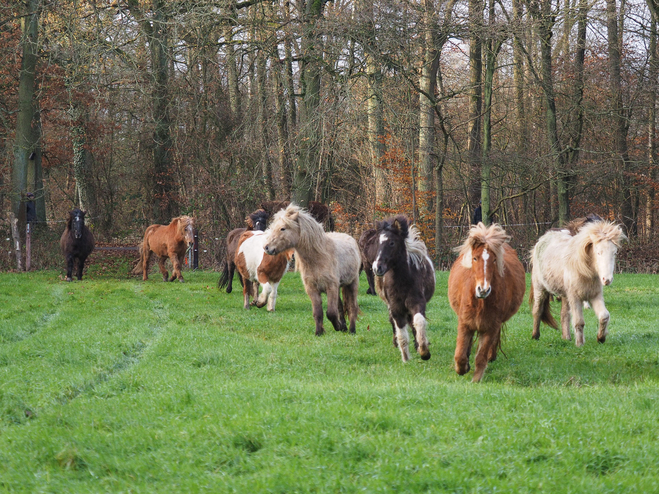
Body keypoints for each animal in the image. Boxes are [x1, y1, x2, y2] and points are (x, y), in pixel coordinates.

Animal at [262, 204, 360, 336]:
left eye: (283, 228)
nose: (267, 247)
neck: (317, 258)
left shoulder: (331, 287)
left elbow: (331, 313)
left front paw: (337, 327)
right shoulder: (312, 289)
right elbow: (318, 313)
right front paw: (319, 332)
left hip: (352, 284)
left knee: (352, 307)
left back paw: (351, 330)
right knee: (340, 306)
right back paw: (344, 327)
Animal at [374, 216, 436, 362]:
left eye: (392, 243)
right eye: (377, 243)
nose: (377, 268)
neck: (402, 282)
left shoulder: (417, 303)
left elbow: (418, 321)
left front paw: (424, 351)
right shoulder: (395, 308)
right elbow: (401, 331)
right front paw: (406, 358)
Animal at [448, 223, 524, 382]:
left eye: (494, 260)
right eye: (475, 258)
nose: (483, 289)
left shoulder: (491, 327)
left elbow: (481, 356)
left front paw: (476, 379)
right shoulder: (464, 323)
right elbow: (460, 355)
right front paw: (463, 369)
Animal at [528, 220, 628, 348]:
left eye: (614, 253)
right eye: (598, 252)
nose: (607, 280)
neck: (584, 270)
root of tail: (542, 239)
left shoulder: (594, 296)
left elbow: (604, 316)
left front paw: (600, 338)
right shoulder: (575, 298)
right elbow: (579, 322)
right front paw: (580, 344)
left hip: (565, 296)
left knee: (564, 315)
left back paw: (567, 338)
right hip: (540, 289)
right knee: (537, 311)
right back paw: (535, 336)